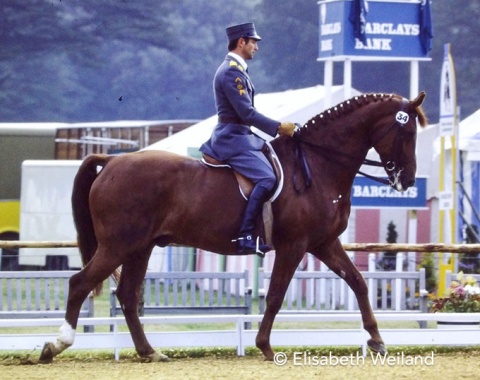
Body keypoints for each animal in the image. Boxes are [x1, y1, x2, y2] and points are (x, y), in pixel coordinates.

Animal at [39, 91, 426, 362]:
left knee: (128, 296)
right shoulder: (295, 245)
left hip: (140, 248)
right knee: (80, 283)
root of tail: (111, 160)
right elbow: (275, 295)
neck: (319, 164)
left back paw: (149, 351)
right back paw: (56, 345)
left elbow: (358, 282)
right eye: (407, 132)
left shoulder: (323, 243)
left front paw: (376, 340)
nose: (407, 180)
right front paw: (265, 346)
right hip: (118, 245)